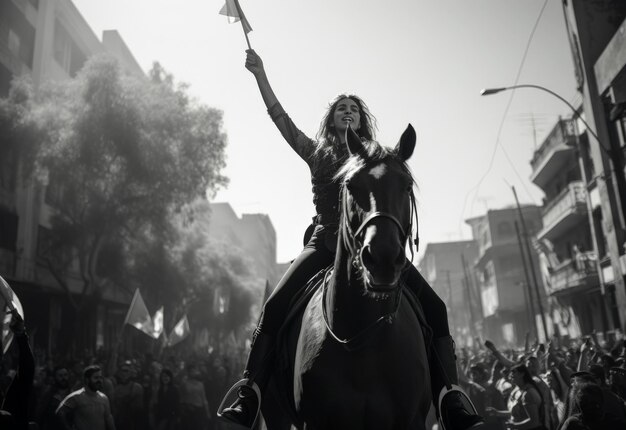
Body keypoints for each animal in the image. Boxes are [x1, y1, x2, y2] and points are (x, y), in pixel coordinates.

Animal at [258, 122, 428, 428]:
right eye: (351, 185)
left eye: (406, 185)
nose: (382, 258)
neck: (363, 341)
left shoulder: (412, 420)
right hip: (274, 411)